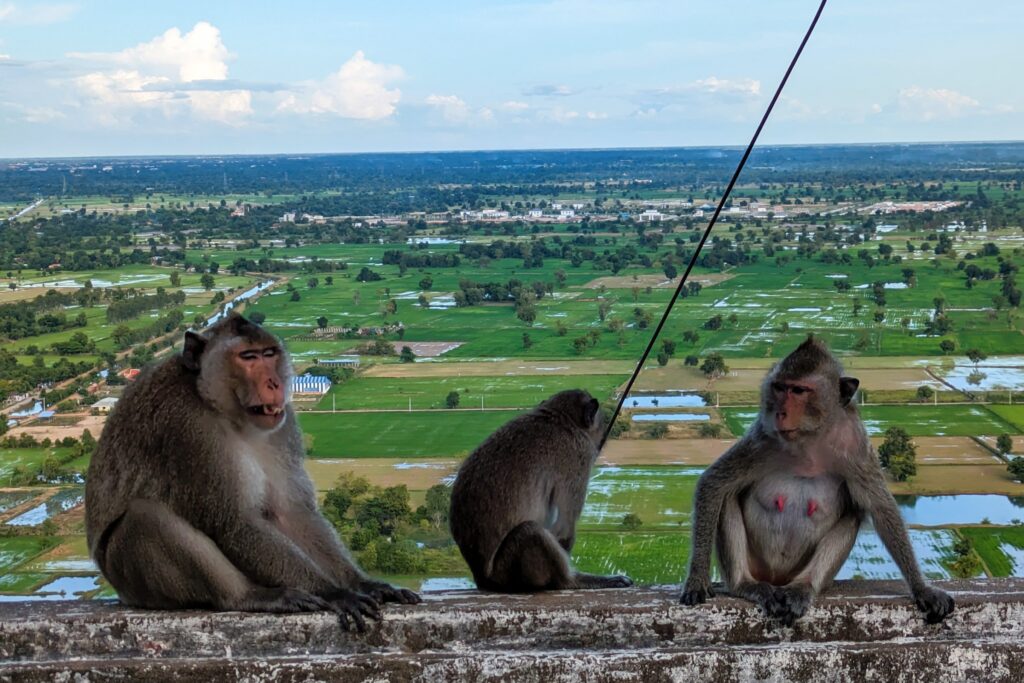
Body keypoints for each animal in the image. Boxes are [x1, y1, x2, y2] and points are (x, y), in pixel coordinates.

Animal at [85, 314, 419, 631]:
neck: (215, 403)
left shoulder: (283, 424)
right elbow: (234, 523)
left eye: (269, 354)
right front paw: (336, 593)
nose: (275, 383)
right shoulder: (188, 427)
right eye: (248, 357)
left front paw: (363, 583)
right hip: (130, 579)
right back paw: (249, 597)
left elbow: (290, 513)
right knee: (146, 518)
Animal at [449, 389, 632, 593]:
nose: (602, 435)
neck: (560, 418)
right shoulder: (579, 456)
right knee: (531, 531)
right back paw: (572, 581)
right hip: (506, 571)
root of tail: (482, 579)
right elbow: (564, 525)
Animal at [680, 336, 954, 625]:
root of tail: (778, 580)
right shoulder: (763, 439)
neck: (810, 438)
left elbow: (881, 508)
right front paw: (697, 579)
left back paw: (803, 588)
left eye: (799, 390)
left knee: (854, 514)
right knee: (728, 498)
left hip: (798, 572)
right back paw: (746, 585)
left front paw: (922, 589)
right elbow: (714, 483)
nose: (780, 412)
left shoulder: (855, 444)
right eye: (780, 388)